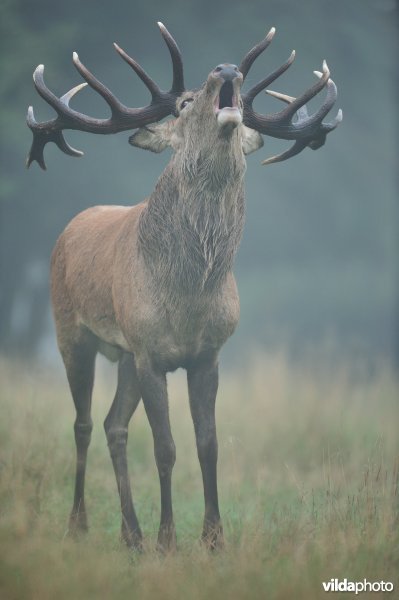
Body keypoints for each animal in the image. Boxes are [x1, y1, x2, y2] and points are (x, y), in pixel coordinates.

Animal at [26, 22, 342, 548]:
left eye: (241, 99)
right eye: (185, 102)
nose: (227, 68)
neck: (189, 296)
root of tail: (70, 227)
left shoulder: (206, 354)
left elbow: (207, 443)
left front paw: (213, 539)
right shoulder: (151, 354)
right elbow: (165, 446)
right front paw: (169, 541)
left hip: (125, 355)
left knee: (113, 425)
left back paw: (130, 534)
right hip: (70, 330)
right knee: (84, 422)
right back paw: (80, 524)